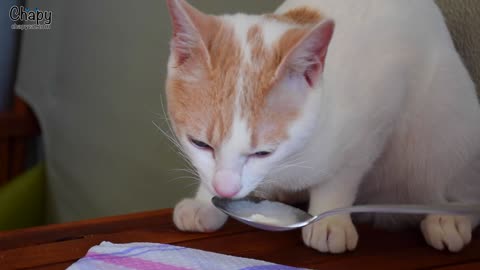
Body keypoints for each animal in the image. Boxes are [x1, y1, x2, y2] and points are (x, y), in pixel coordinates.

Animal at [164, 0, 480, 253]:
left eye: (263, 153)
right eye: (200, 144)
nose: (226, 189)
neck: (288, 163)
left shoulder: (373, 124)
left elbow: (340, 177)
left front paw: (330, 220)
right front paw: (206, 202)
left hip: (450, 123)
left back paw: (451, 217)